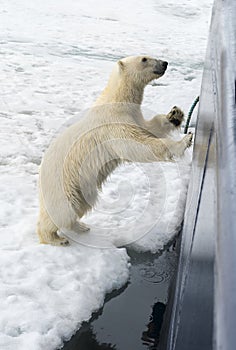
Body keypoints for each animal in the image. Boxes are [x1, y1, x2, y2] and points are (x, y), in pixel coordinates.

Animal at [36, 55, 192, 246]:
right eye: (144, 58)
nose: (165, 63)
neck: (116, 101)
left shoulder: (133, 116)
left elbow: (149, 128)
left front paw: (175, 115)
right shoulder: (113, 123)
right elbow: (137, 145)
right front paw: (184, 141)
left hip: (82, 186)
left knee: (81, 204)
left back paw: (81, 226)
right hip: (63, 183)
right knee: (63, 209)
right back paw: (55, 238)